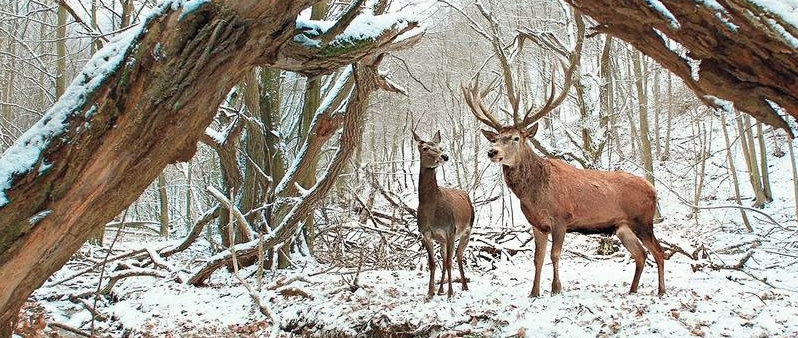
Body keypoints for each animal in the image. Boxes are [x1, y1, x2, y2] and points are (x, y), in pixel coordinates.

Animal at [412, 131, 476, 300]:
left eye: (440, 147)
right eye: (425, 148)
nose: (445, 156)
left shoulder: (450, 229)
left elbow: (448, 262)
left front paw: (451, 293)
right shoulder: (426, 233)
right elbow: (433, 263)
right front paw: (430, 292)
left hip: (467, 229)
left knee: (458, 256)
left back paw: (464, 286)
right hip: (443, 240)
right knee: (446, 256)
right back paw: (441, 289)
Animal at [460, 9, 664, 296]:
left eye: (516, 138)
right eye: (497, 137)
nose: (493, 152)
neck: (535, 193)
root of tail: (653, 188)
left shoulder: (561, 218)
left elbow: (555, 255)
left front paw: (556, 288)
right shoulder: (537, 224)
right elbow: (537, 258)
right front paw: (534, 292)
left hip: (643, 220)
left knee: (659, 252)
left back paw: (661, 290)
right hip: (622, 226)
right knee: (641, 254)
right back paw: (632, 290)